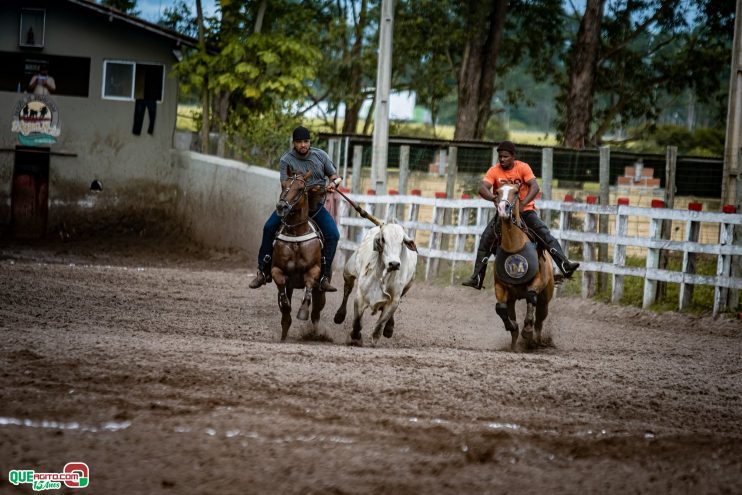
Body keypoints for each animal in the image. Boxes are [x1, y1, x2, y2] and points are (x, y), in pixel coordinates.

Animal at [268, 167, 324, 340]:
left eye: (300, 189)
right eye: (283, 185)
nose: (281, 206)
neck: (296, 235)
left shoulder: (314, 270)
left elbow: (308, 287)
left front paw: (302, 312)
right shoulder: (277, 270)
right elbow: (282, 293)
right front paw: (285, 307)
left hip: (321, 290)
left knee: (317, 311)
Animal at [492, 184, 556, 350]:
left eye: (515, 192)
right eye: (497, 192)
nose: (503, 209)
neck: (514, 246)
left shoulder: (537, 283)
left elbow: (531, 296)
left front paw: (527, 330)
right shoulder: (500, 286)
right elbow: (500, 308)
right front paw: (513, 326)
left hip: (545, 298)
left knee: (539, 320)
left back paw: (536, 341)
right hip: (512, 299)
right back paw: (515, 345)